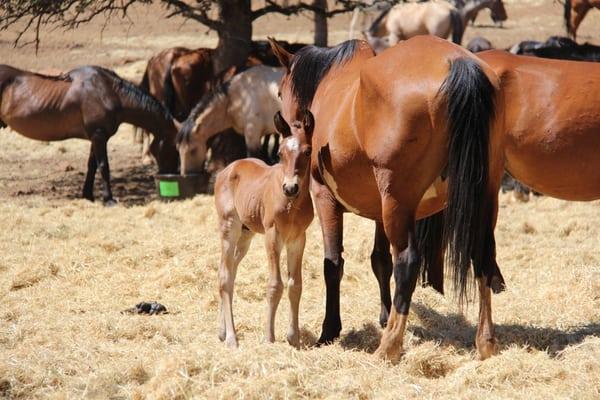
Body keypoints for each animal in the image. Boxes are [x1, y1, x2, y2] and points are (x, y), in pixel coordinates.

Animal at [0, 65, 178, 206]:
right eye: (175, 149)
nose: (170, 174)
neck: (108, 92)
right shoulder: (99, 136)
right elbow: (104, 166)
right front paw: (109, 199)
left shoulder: (95, 137)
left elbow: (92, 166)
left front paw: (87, 196)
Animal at [217, 109, 318, 346]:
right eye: (280, 153)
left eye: (307, 151)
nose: (290, 188)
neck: (291, 205)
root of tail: (227, 169)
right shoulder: (272, 235)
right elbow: (275, 285)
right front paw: (269, 337)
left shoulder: (298, 239)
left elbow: (295, 285)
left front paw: (293, 337)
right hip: (229, 228)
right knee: (225, 275)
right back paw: (232, 338)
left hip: (246, 235)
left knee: (229, 272)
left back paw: (222, 331)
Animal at [270, 36, 500, 360]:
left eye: (280, 91)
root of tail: (458, 63)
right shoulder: (380, 210)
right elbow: (380, 261)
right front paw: (384, 315)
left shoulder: (325, 198)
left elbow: (333, 264)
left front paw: (330, 331)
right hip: (482, 197)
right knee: (482, 256)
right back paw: (485, 341)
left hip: (397, 202)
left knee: (407, 261)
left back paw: (389, 345)